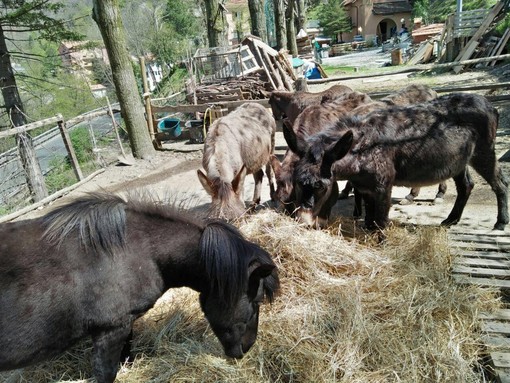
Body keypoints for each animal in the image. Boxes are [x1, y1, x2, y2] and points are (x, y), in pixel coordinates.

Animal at [0, 195, 278, 383]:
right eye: (256, 302)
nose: (247, 348)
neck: (135, 251)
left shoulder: (124, 326)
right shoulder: (110, 330)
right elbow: (106, 372)